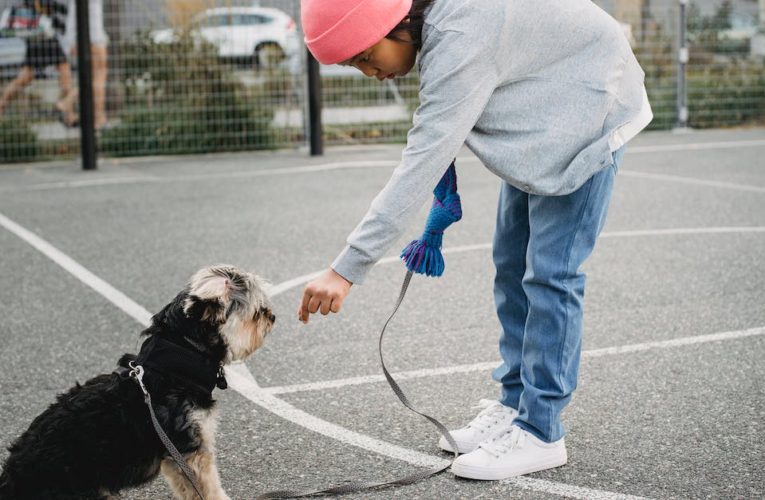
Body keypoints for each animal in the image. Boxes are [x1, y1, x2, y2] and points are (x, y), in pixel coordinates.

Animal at [0, 266, 274, 500]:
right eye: (257, 313)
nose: (272, 316)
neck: (180, 358)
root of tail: (10, 481)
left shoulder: (175, 458)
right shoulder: (191, 450)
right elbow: (209, 489)